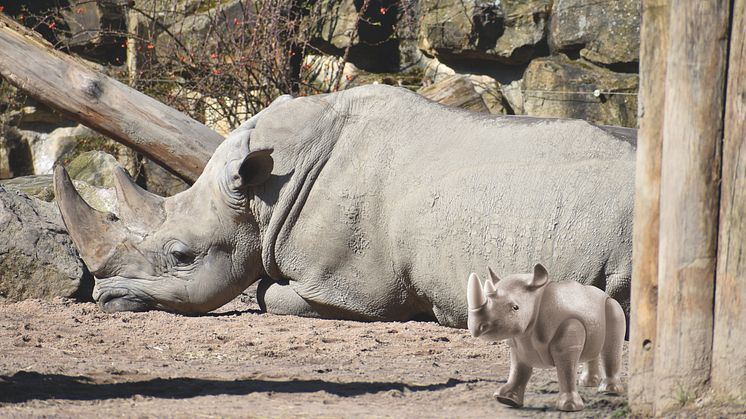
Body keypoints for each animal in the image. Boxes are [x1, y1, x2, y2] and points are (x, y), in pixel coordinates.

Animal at [468, 264, 624, 412]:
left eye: (515, 307)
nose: (477, 326)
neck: (535, 299)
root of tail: (603, 293)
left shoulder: (568, 336)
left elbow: (566, 370)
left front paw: (570, 407)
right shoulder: (519, 340)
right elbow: (519, 369)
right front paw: (506, 400)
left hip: (613, 307)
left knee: (610, 345)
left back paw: (609, 391)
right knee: (593, 347)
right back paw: (587, 383)